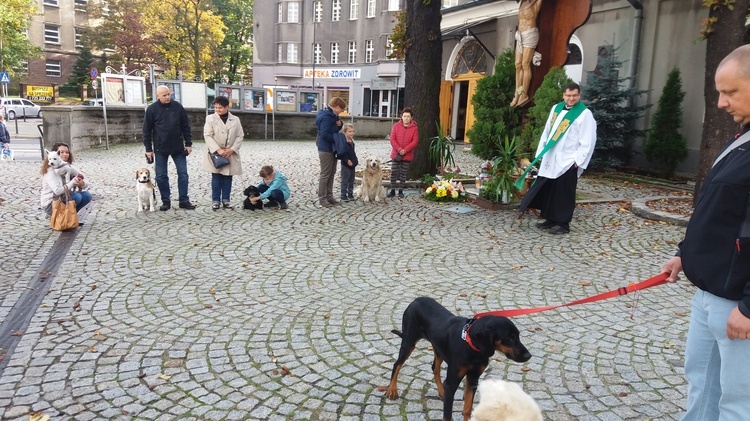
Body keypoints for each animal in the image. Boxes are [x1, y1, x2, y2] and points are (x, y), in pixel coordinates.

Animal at [390, 296, 532, 418]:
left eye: (518, 335)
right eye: (509, 338)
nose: (528, 355)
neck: (471, 346)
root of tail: (415, 300)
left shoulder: (473, 379)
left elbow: (467, 410)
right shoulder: (453, 381)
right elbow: (447, 415)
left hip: (438, 348)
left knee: (435, 368)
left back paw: (442, 391)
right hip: (409, 342)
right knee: (397, 364)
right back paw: (392, 390)